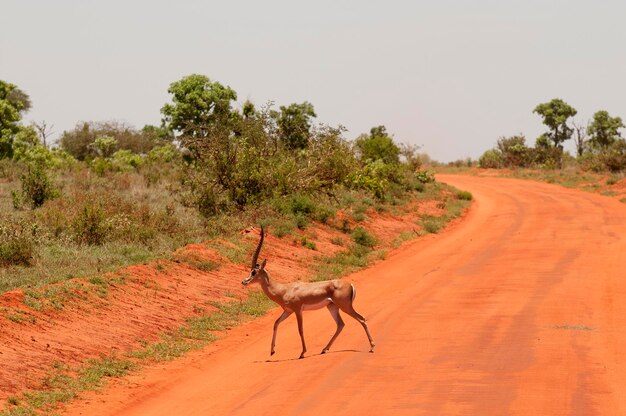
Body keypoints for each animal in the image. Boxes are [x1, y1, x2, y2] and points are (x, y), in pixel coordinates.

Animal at [241, 226, 372, 360]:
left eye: (254, 272)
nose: (244, 281)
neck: (283, 289)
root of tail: (350, 285)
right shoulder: (288, 311)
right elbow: (276, 323)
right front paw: (272, 351)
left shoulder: (298, 310)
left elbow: (300, 329)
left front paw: (302, 353)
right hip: (332, 307)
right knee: (341, 324)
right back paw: (324, 349)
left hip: (345, 306)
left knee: (361, 319)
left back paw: (372, 347)